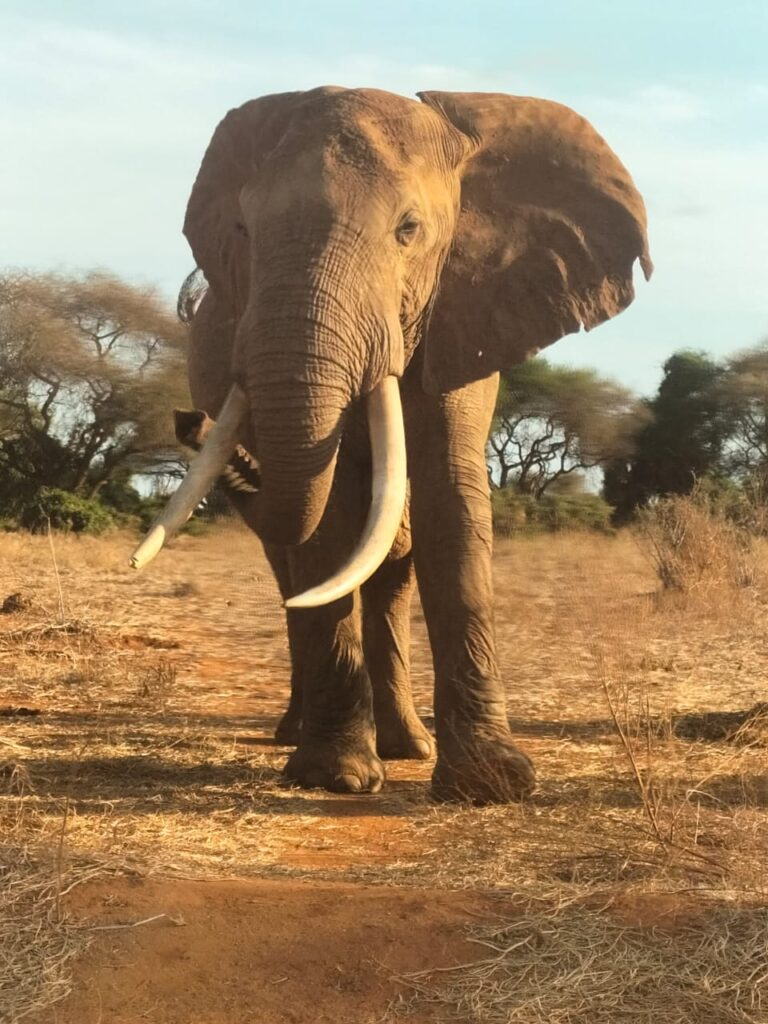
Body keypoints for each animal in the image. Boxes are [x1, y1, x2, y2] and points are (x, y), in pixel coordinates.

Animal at [132, 86, 651, 798]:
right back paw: (304, 734)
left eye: (409, 229)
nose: (189, 422)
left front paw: (490, 784)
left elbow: (451, 500)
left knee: (387, 571)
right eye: (244, 232)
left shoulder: (466, 312)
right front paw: (337, 778)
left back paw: (408, 744)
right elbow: (328, 517)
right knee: (293, 567)